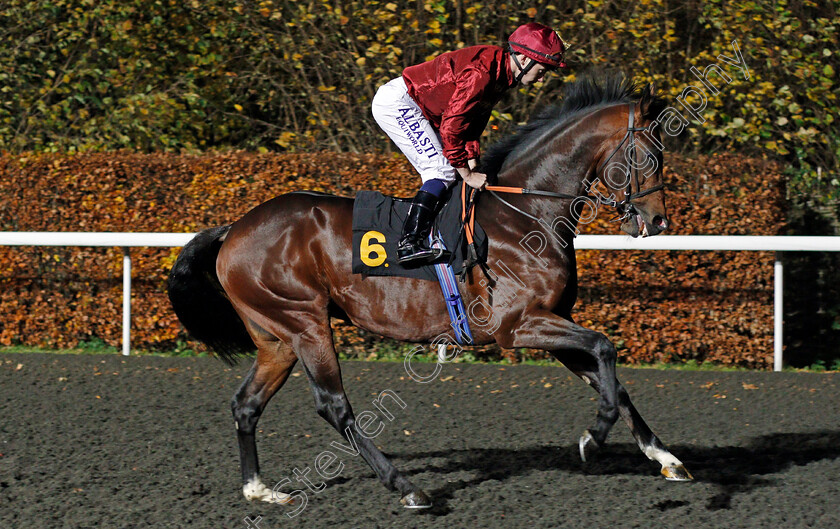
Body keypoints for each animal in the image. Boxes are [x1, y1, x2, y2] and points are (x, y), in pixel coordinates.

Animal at [167, 73, 692, 508]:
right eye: (650, 154)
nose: (658, 222)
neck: (528, 214)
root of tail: (234, 228)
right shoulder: (518, 326)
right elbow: (605, 349)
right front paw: (592, 437)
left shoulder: (551, 321)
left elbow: (611, 380)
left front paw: (665, 458)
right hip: (305, 322)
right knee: (333, 405)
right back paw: (406, 487)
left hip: (275, 336)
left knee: (247, 403)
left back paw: (259, 490)